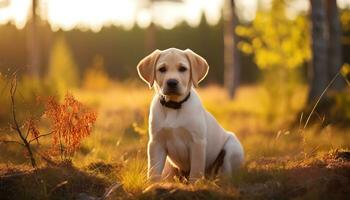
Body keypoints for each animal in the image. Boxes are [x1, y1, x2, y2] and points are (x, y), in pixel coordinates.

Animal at [137, 48, 243, 181]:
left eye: (182, 68)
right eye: (162, 69)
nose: (172, 82)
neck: (174, 106)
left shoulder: (197, 142)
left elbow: (196, 171)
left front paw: (195, 184)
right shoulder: (156, 142)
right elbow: (153, 170)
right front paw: (152, 184)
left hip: (232, 147)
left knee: (226, 172)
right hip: (169, 166)